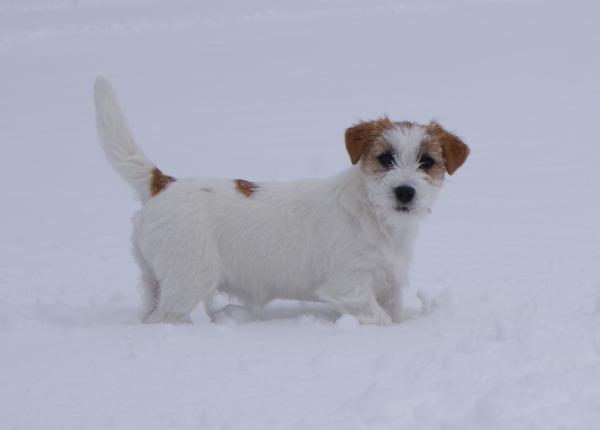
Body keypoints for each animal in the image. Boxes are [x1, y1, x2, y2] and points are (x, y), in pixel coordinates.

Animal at [94, 78, 468, 326]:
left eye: (427, 162)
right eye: (386, 158)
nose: (404, 192)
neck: (374, 216)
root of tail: (162, 183)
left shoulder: (387, 286)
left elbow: (394, 313)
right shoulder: (349, 288)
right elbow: (382, 321)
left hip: (157, 280)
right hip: (189, 280)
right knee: (162, 318)